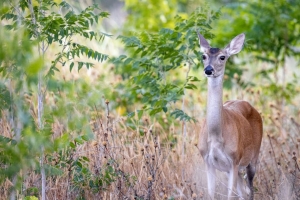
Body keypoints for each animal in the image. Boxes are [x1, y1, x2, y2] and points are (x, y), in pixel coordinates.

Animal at [198, 33, 264, 200]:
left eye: (222, 57)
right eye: (203, 56)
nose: (208, 70)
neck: (216, 136)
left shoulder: (234, 159)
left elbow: (230, 195)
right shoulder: (208, 161)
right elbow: (211, 194)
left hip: (253, 157)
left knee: (250, 189)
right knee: (243, 192)